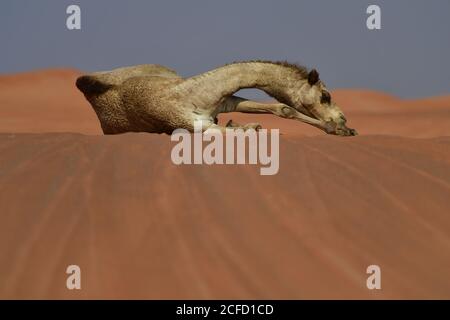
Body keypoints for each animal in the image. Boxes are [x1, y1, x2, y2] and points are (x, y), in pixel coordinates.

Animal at [78, 60, 358, 136]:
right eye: (325, 95)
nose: (343, 118)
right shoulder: (194, 125)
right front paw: (246, 126)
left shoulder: (225, 101)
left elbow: (282, 108)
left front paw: (341, 131)